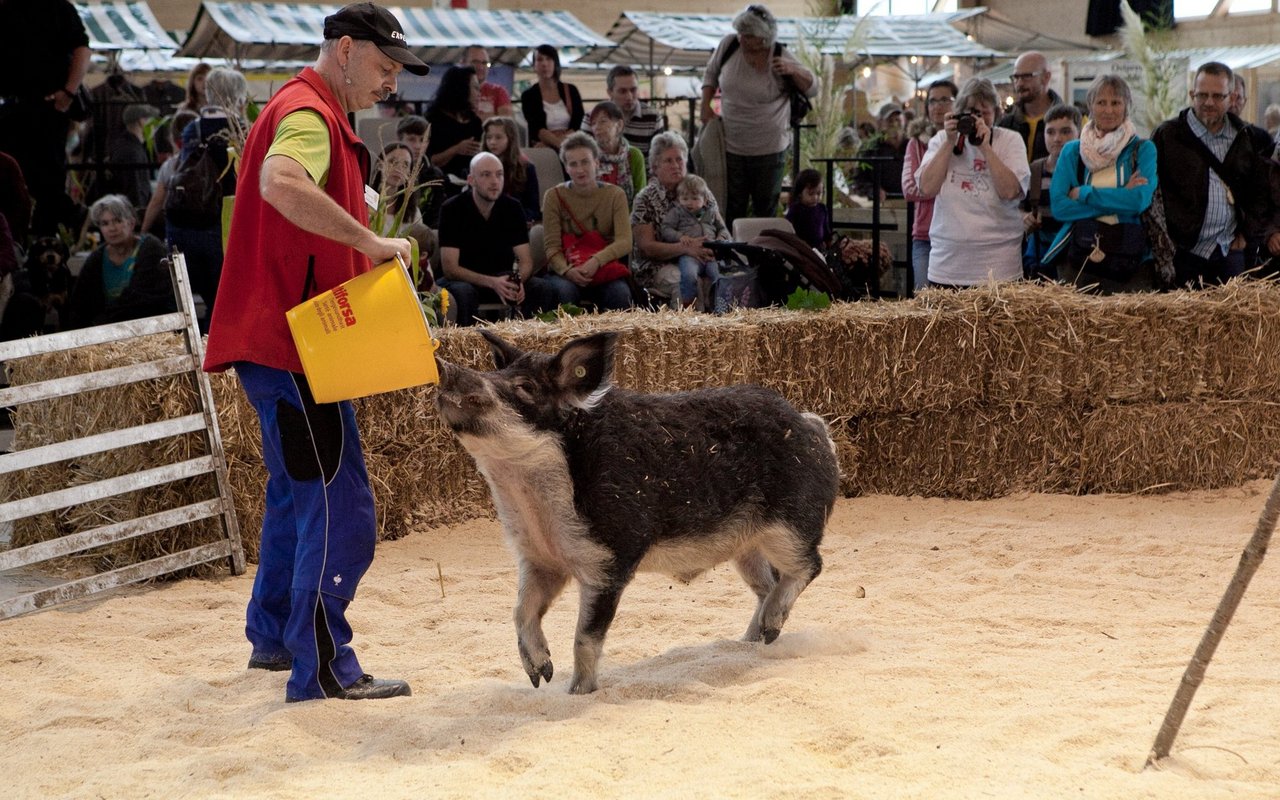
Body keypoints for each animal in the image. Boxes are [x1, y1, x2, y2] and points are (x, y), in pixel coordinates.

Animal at [440, 330, 839, 691]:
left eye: (524, 386)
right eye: (497, 372)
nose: (447, 369)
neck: (530, 498)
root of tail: (814, 426)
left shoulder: (611, 560)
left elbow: (585, 638)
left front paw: (578, 693)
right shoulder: (539, 559)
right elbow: (522, 611)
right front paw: (541, 678)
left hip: (790, 525)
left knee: (809, 566)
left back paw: (769, 629)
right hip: (746, 546)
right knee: (767, 585)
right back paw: (751, 642)